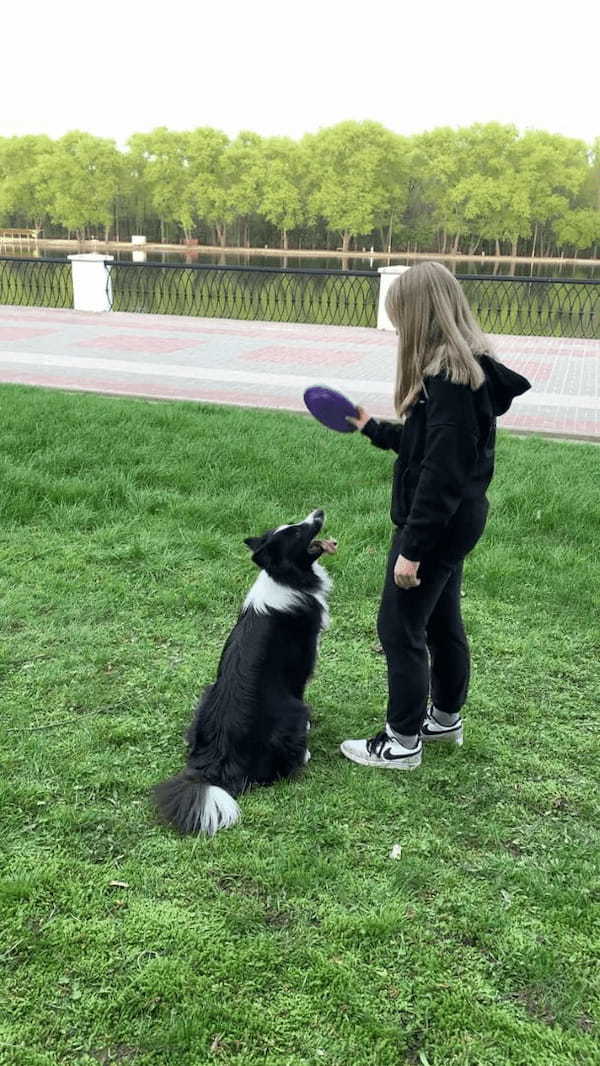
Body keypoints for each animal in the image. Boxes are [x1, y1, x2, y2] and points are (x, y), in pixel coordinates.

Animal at [152, 511, 336, 835]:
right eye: (297, 532)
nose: (319, 512)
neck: (283, 578)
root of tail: (216, 762)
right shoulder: (300, 669)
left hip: (206, 694)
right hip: (293, 711)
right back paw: (303, 755)